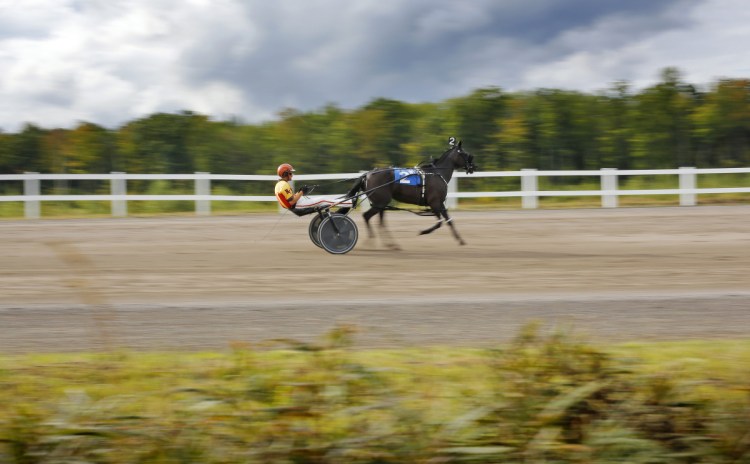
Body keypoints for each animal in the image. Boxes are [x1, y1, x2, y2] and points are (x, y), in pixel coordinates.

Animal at [346, 139, 476, 250]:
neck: (437, 173)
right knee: (366, 216)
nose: (473, 167)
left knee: (380, 222)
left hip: (380, 204)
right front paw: (423, 232)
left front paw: (461, 240)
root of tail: (367, 175)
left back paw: (391, 245)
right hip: (381, 202)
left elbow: (449, 221)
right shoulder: (434, 203)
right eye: (465, 154)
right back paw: (371, 241)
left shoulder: (440, 204)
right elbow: (439, 223)